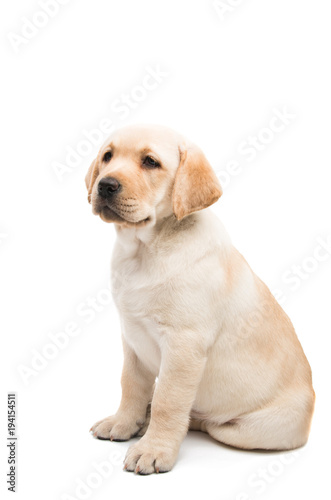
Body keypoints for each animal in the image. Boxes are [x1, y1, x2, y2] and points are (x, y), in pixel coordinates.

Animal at [87, 123, 316, 474]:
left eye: (150, 162)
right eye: (107, 157)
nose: (105, 184)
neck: (145, 249)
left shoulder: (184, 344)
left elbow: (168, 400)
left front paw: (154, 449)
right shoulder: (132, 337)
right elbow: (131, 385)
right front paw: (124, 423)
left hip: (247, 430)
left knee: (206, 422)